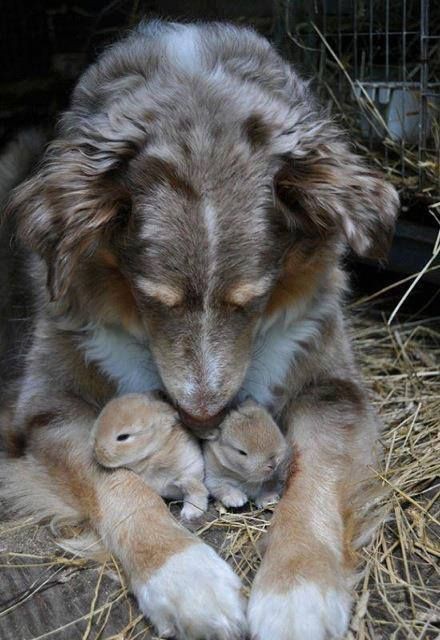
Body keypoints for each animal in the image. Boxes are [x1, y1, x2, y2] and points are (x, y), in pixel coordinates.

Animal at [91, 392, 208, 524]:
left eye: (123, 437)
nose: (96, 451)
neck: (153, 453)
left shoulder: (189, 475)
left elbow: (196, 493)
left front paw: (190, 514)